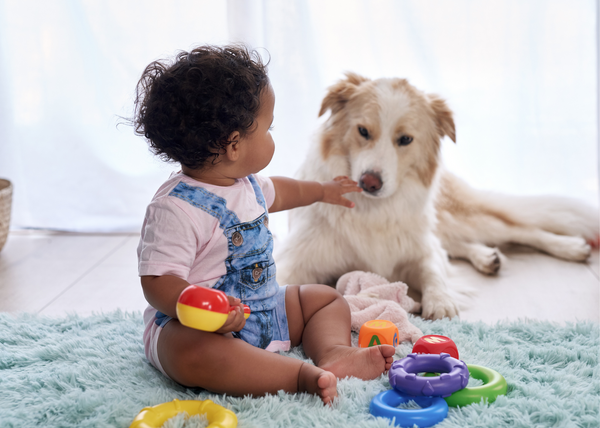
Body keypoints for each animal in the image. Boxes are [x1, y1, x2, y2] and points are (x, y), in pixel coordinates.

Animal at [274, 73, 596, 320]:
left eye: (405, 139)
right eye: (363, 131)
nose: (369, 182)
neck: (374, 210)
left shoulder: (420, 249)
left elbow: (433, 270)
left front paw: (440, 301)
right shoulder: (297, 258)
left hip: (459, 219)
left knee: (522, 230)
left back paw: (570, 247)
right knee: (457, 245)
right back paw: (487, 257)